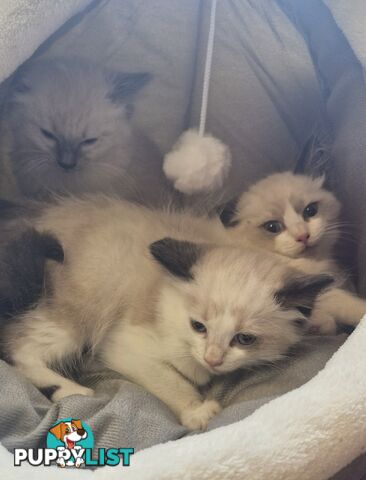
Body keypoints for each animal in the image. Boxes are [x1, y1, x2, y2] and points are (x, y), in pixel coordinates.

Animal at [0, 197, 332, 430]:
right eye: (198, 326)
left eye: (245, 339)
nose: (213, 359)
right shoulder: (124, 344)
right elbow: (170, 379)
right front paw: (197, 410)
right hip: (77, 312)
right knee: (18, 349)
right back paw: (73, 391)